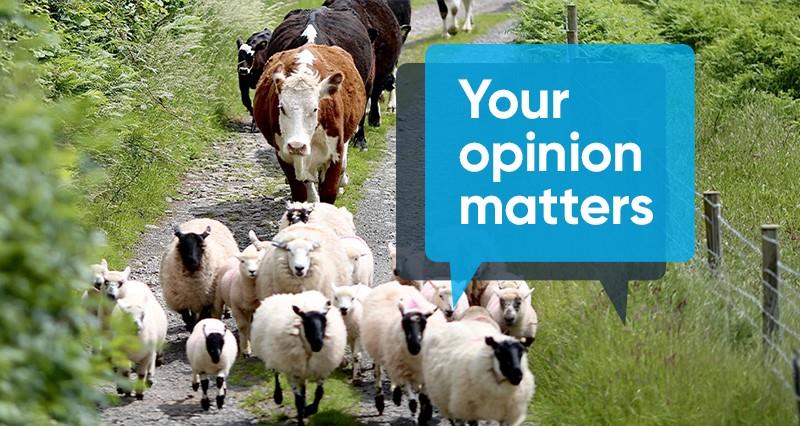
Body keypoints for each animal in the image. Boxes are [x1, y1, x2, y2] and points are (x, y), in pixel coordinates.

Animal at [251, 290, 346, 425]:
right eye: (305, 322)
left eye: (324, 321)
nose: (318, 344)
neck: (309, 349)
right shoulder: (293, 372)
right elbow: (298, 402)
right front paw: (301, 419)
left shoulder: (321, 368)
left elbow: (319, 393)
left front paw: (311, 409)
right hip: (276, 356)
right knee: (276, 373)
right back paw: (278, 396)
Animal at [253, 45, 366, 204]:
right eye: (281, 108)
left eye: (315, 109)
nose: (297, 146)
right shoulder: (284, 155)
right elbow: (300, 193)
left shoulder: (335, 154)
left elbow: (329, 192)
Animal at [360, 281, 446, 422]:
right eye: (404, 323)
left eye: (424, 324)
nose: (414, 346)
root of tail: (393, 283)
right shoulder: (403, 370)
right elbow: (412, 402)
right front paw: (415, 415)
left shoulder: (424, 371)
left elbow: (423, 397)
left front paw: (425, 415)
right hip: (380, 352)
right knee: (378, 373)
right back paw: (380, 401)